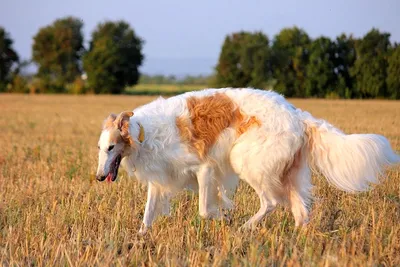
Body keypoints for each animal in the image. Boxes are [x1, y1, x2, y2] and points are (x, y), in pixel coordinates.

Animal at [95, 89, 398, 233]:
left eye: (111, 147)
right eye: (99, 148)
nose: (98, 177)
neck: (143, 132)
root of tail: (297, 114)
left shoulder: (204, 168)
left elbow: (205, 211)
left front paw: (224, 219)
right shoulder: (161, 179)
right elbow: (147, 217)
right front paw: (139, 239)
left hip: (246, 161)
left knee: (272, 202)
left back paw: (245, 227)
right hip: (289, 173)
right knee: (301, 214)